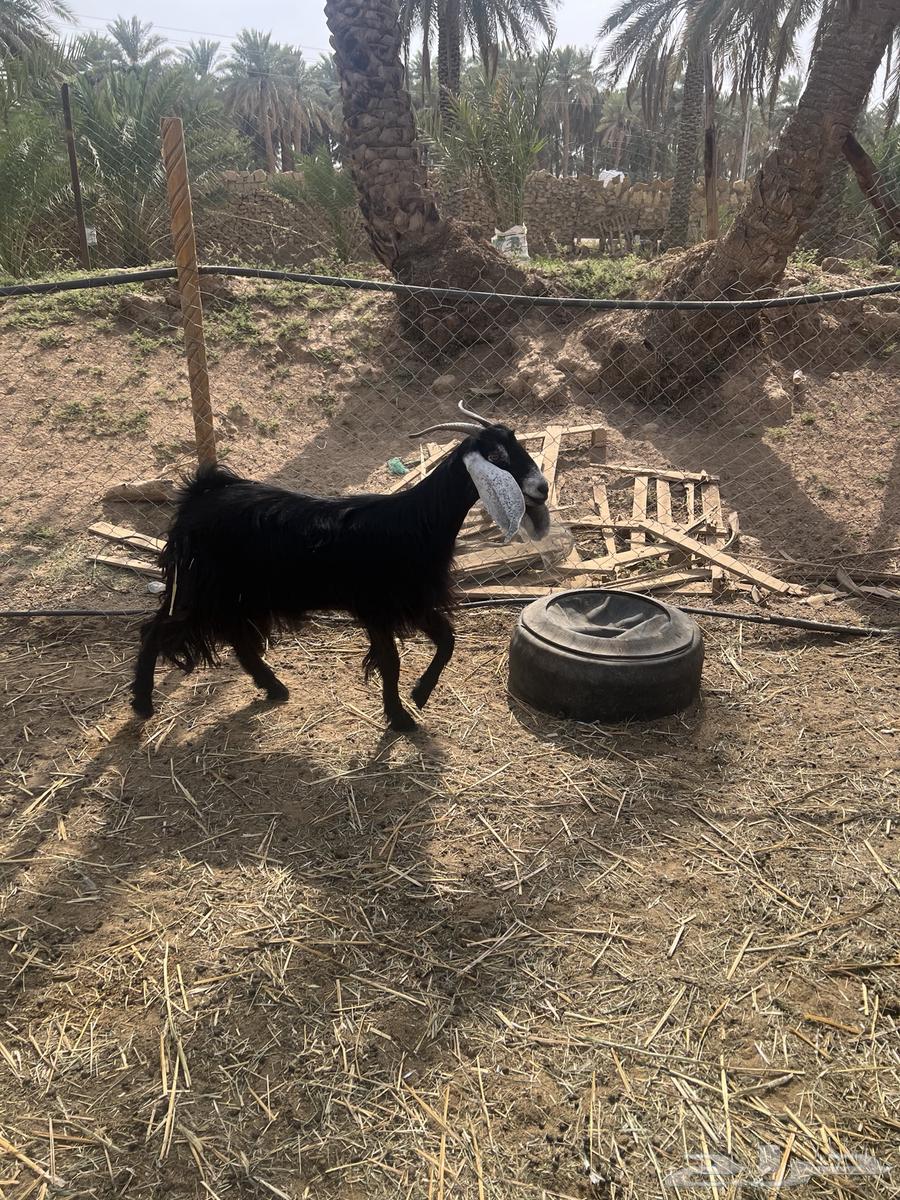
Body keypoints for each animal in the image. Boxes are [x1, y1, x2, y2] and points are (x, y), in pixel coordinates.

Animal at [131, 400, 550, 731]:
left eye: (518, 444)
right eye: (496, 457)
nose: (542, 488)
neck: (418, 522)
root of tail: (198, 496)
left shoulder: (414, 601)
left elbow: (447, 641)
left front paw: (418, 695)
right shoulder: (378, 607)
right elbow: (391, 661)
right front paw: (401, 718)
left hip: (238, 592)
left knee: (236, 637)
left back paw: (274, 687)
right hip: (200, 587)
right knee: (155, 630)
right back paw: (142, 704)